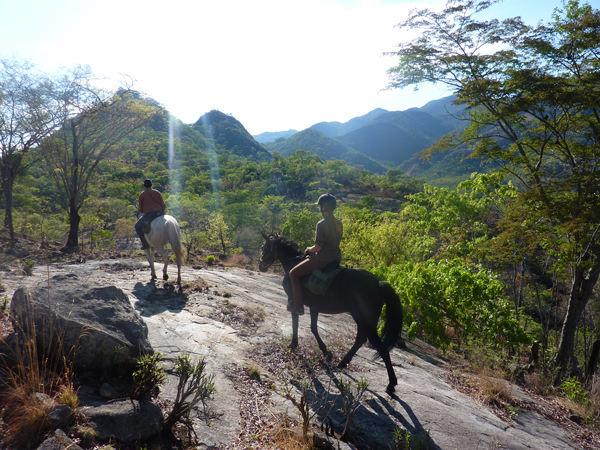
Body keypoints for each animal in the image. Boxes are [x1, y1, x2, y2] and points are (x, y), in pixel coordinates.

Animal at [258, 234, 404, 392]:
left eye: (263, 247)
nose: (261, 265)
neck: (294, 261)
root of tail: (378, 282)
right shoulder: (314, 306)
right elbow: (313, 328)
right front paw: (327, 353)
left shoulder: (293, 299)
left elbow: (296, 323)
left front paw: (293, 344)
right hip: (362, 318)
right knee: (360, 339)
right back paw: (342, 363)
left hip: (363, 318)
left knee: (380, 347)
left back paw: (391, 384)